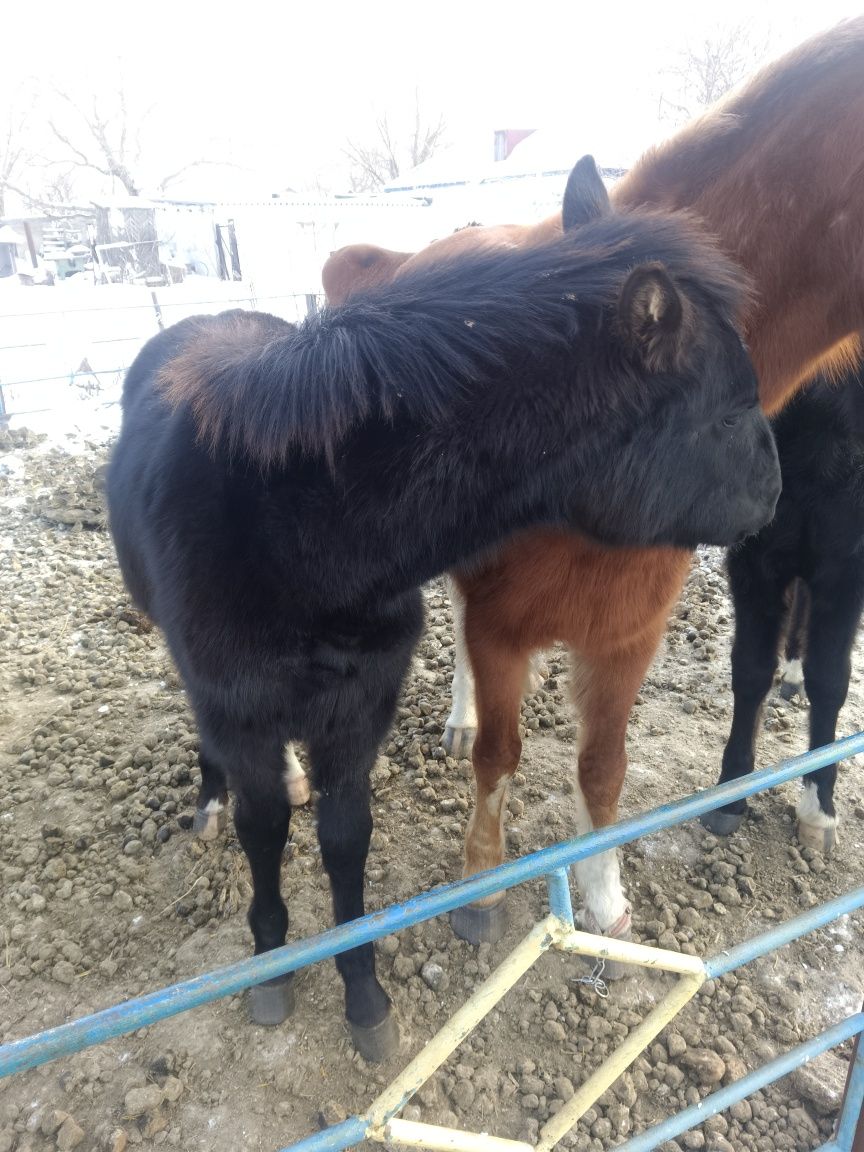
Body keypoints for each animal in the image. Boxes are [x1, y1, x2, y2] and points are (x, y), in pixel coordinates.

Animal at [317, 18, 864, 949]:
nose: (768, 496)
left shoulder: (625, 634)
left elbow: (604, 767)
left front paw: (605, 900)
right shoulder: (502, 628)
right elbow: (498, 757)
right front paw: (482, 887)